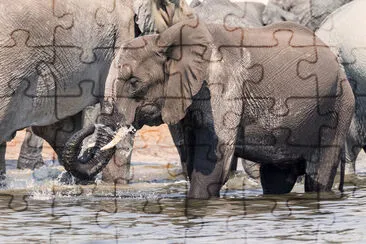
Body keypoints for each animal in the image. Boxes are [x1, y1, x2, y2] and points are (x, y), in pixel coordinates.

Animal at [63, 18, 354, 198]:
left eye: (135, 83)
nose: (89, 125)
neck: (166, 40)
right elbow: (191, 159)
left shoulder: (222, 85)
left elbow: (213, 163)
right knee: (276, 179)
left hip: (338, 108)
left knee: (317, 176)